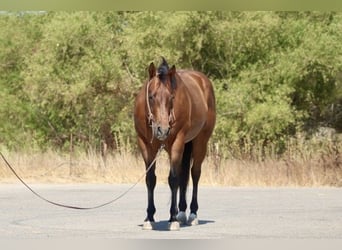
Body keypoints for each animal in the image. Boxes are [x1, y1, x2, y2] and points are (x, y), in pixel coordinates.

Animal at [133, 57, 215, 230]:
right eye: (151, 96)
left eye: (171, 97)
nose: (162, 130)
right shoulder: (145, 145)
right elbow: (151, 179)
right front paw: (149, 217)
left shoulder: (177, 143)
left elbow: (173, 179)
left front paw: (173, 219)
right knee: (184, 174)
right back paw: (182, 212)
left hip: (200, 142)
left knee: (195, 174)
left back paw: (192, 214)